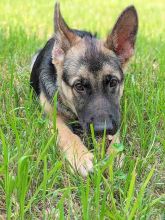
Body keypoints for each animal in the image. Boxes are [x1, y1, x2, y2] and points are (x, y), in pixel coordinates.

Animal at [30, 3, 138, 177]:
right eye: (79, 86)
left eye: (113, 82)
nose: (103, 130)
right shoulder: (50, 116)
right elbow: (66, 134)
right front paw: (80, 156)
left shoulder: (115, 115)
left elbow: (115, 136)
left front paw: (113, 156)